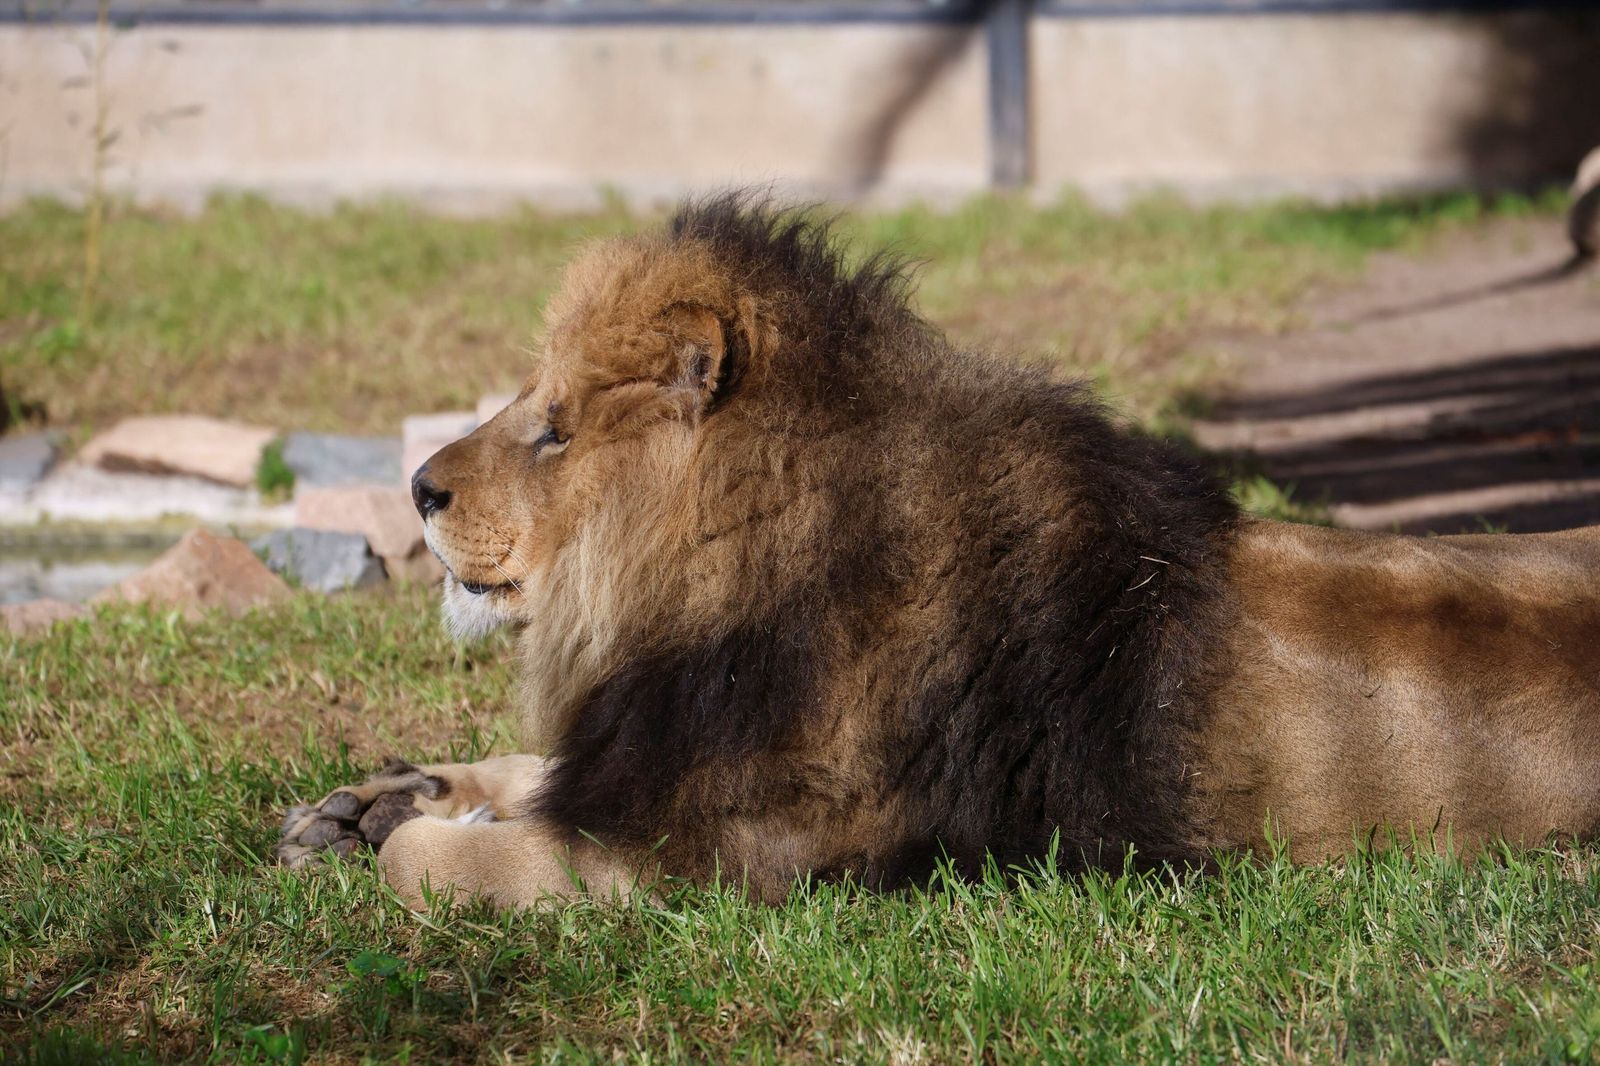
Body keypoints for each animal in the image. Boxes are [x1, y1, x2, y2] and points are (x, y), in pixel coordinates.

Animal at [277, 195, 1600, 908]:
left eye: (552, 429)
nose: (418, 487)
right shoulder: (645, 751)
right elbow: (525, 770)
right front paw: (375, 798)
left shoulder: (715, 854)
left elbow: (437, 866)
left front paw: (406, 830)